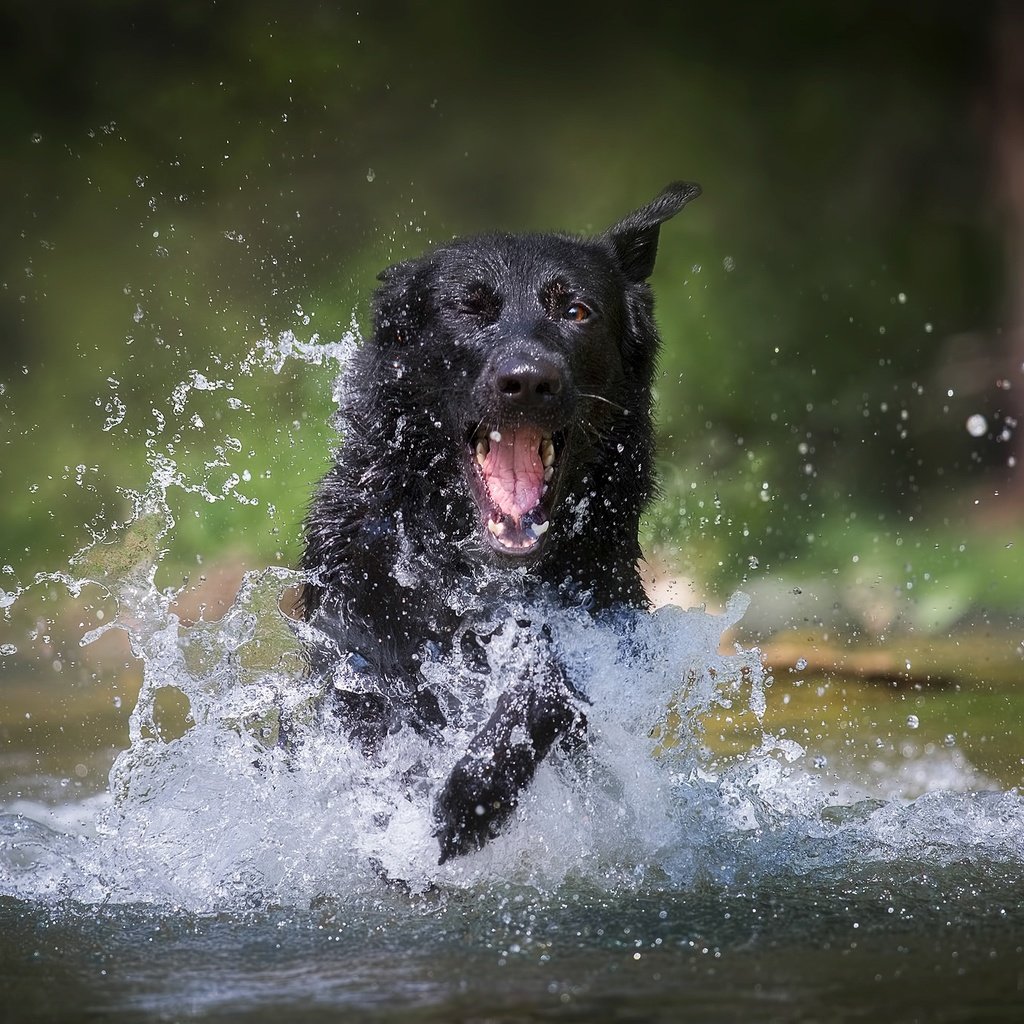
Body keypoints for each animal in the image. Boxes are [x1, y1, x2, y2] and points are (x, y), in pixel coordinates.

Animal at [296, 180, 700, 860]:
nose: (528, 381)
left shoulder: (597, 632)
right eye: (471, 310)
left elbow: (545, 683)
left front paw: (473, 796)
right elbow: (379, 711)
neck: (475, 576)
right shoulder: (357, 628)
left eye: (577, 312)